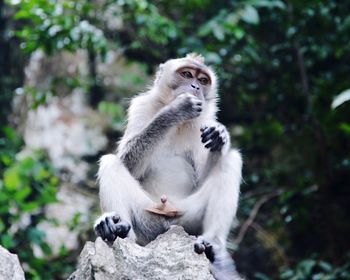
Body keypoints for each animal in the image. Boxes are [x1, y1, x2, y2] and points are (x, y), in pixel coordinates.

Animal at [93, 53, 243, 278]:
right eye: (187, 74)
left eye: (203, 80)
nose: (195, 86)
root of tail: (169, 230)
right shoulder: (140, 106)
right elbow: (128, 164)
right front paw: (175, 110)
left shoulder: (205, 119)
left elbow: (203, 176)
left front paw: (219, 137)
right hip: (148, 220)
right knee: (110, 162)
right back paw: (117, 230)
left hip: (188, 220)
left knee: (231, 162)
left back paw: (214, 250)